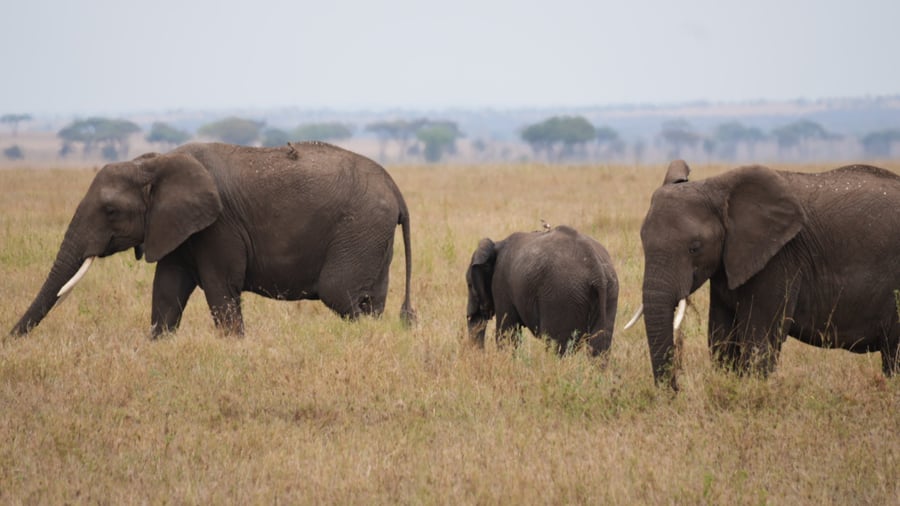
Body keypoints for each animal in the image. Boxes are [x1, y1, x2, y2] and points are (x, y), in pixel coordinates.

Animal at [10, 141, 415, 337]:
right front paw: (159, 346)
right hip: (372, 237)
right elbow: (167, 291)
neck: (155, 162)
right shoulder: (176, 227)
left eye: (110, 211)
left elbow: (221, 289)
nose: (10, 340)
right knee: (369, 300)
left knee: (340, 293)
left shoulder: (218, 226)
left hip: (359, 229)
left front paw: (234, 348)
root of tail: (396, 188)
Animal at [465, 225, 618, 357]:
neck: (497, 245)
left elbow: (507, 333)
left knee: (558, 347)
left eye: (469, 285)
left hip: (562, 296)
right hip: (609, 293)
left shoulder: (501, 283)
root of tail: (595, 269)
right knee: (599, 348)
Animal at [627, 160, 900, 389]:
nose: (675, 391)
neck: (718, 188)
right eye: (642, 241)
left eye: (694, 248)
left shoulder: (780, 258)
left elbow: (760, 340)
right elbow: (721, 337)